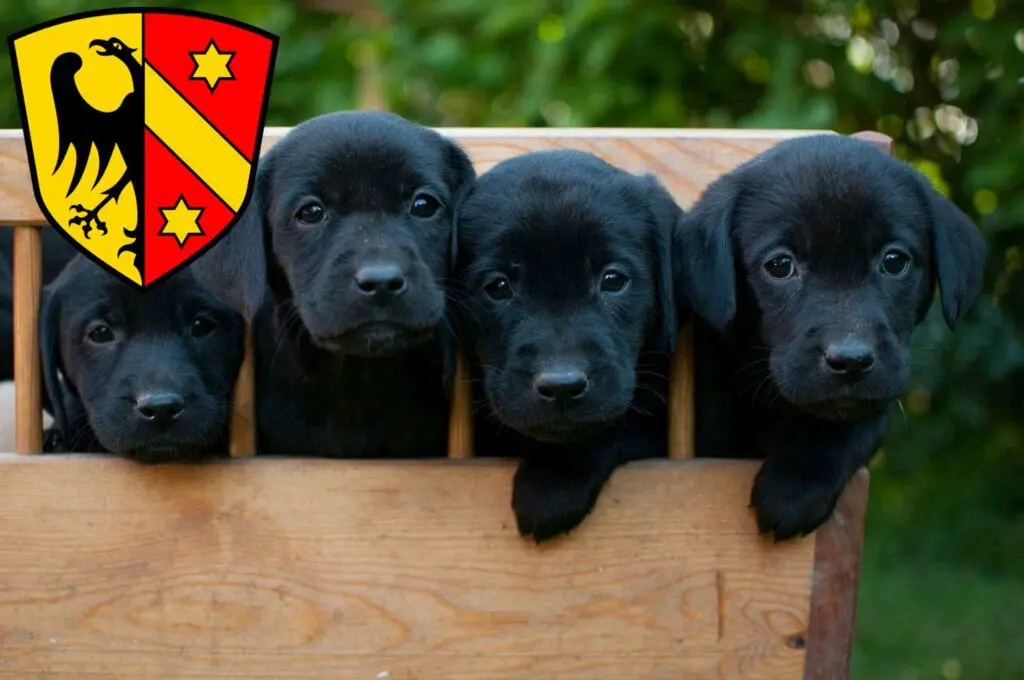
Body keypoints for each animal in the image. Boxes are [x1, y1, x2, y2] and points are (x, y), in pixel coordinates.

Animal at [675, 134, 987, 540]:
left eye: (894, 261)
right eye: (780, 265)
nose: (851, 361)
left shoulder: (877, 394)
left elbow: (851, 423)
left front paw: (793, 489)